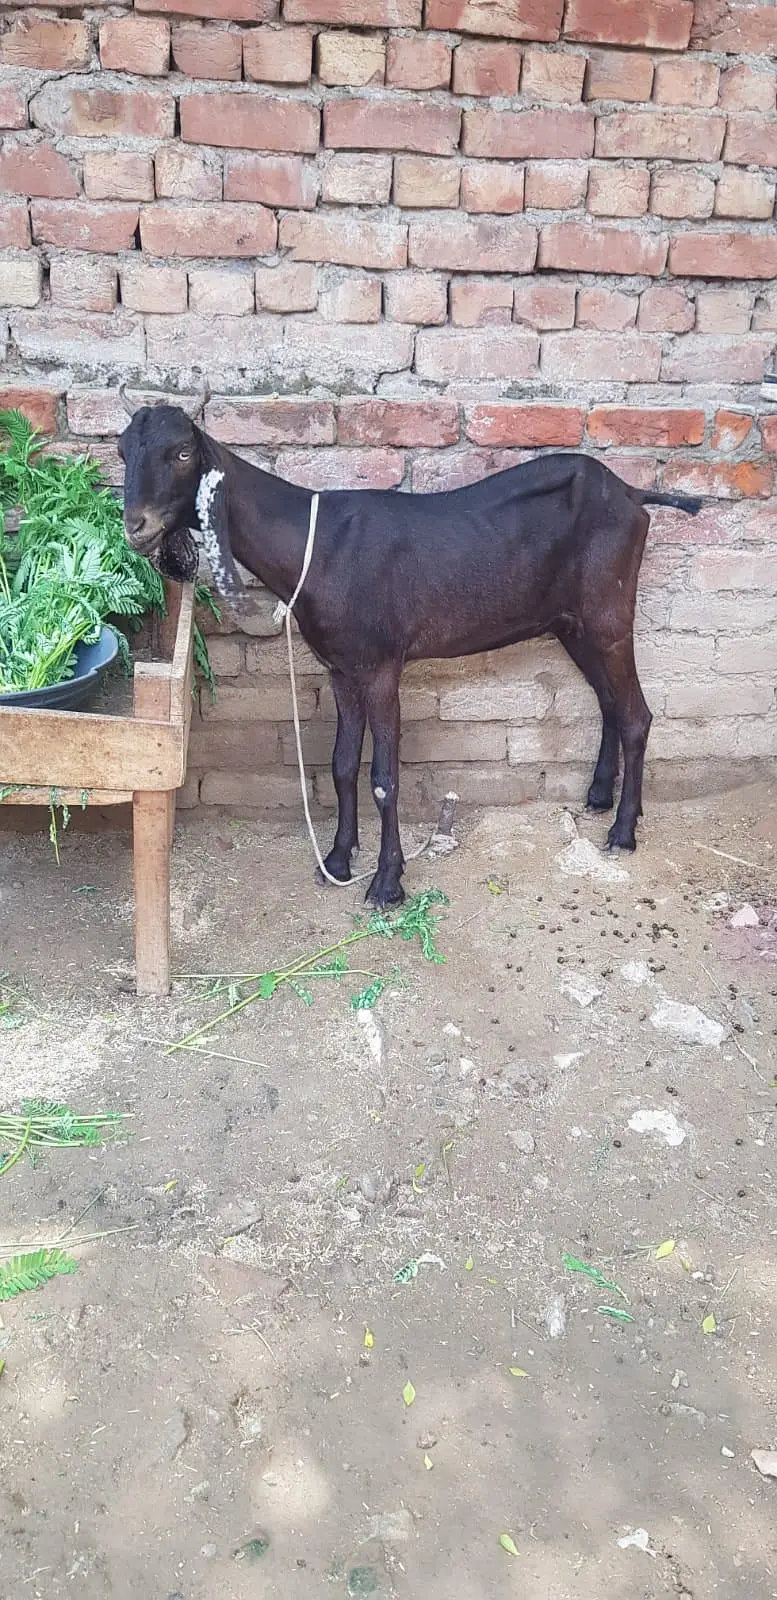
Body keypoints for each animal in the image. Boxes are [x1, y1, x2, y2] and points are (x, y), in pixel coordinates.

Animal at [118, 403, 702, 909]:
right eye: (124, 450)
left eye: (183, 453)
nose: (136, 526)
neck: (317, 546)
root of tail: (632, 493)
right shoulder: (341, 667)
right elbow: (342, 764)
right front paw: (337, 859)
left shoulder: (381, 666)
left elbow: (384, 777)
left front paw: (386, 883)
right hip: (571, 623)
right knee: (609, 701)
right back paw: (598, 795)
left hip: (608, 612)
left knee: (636, 714)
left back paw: (623, 831)